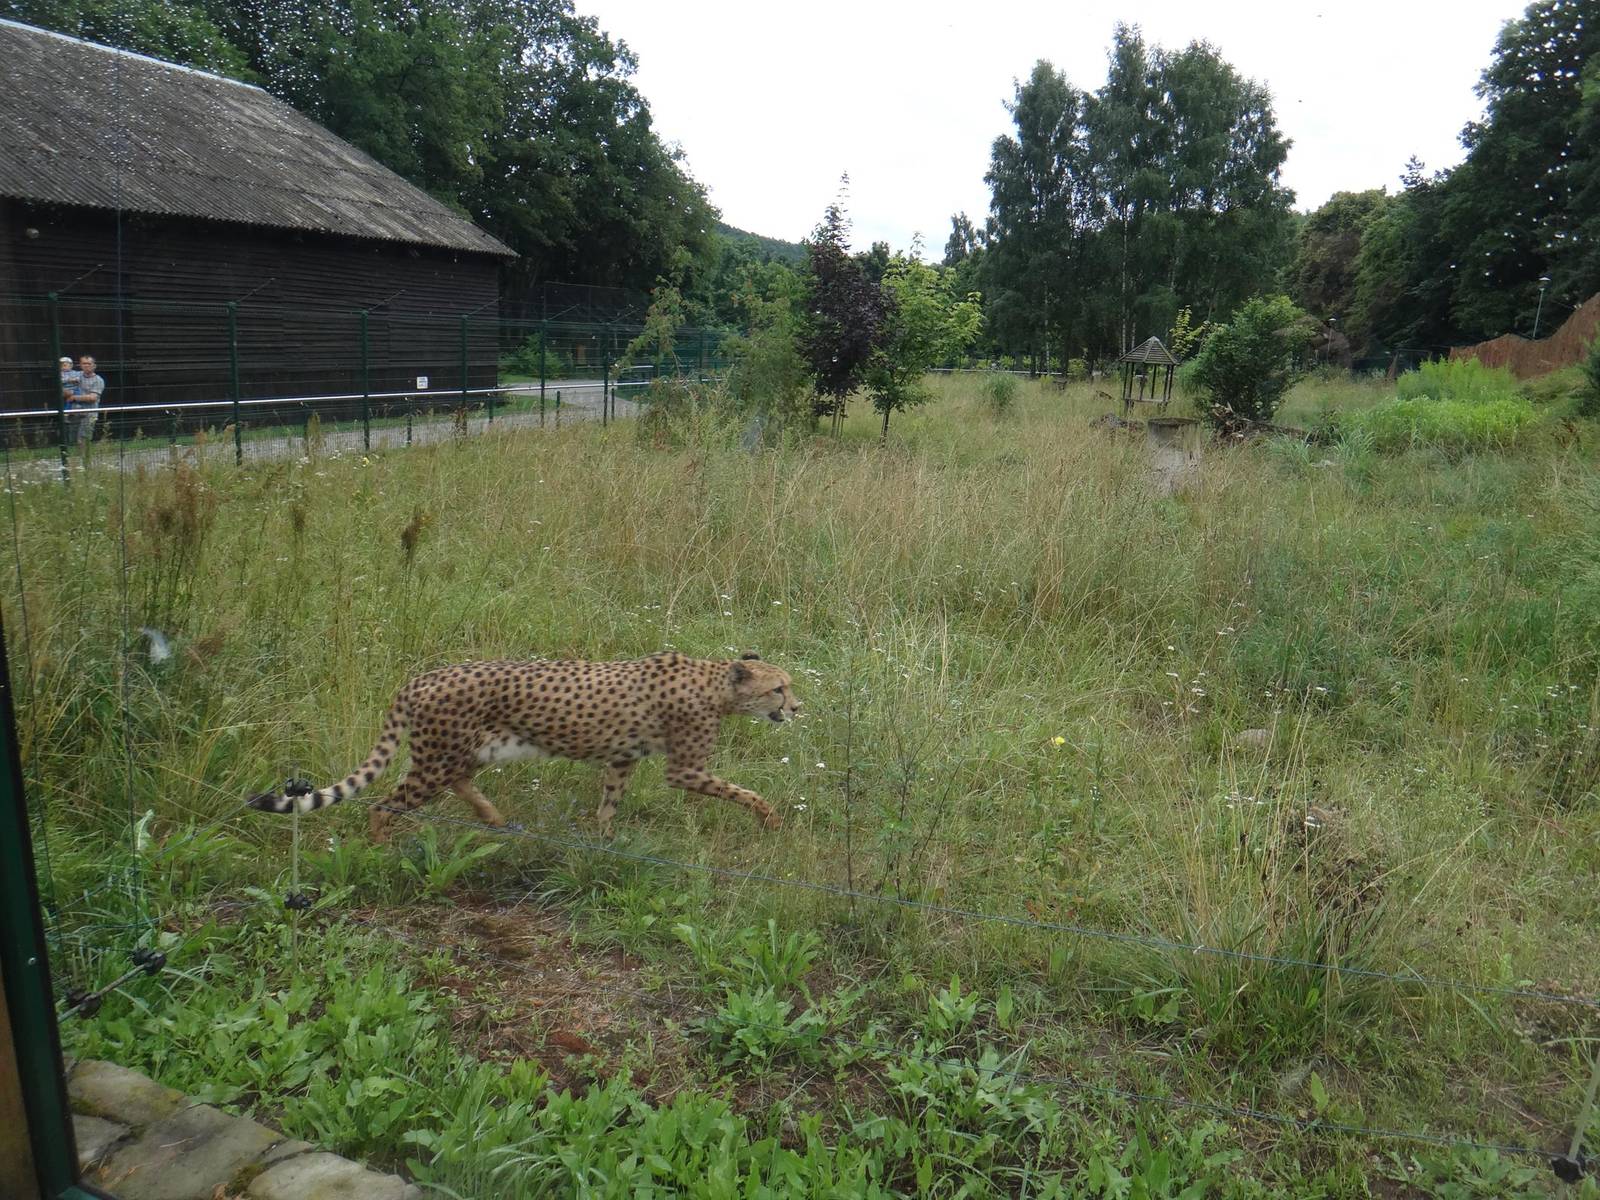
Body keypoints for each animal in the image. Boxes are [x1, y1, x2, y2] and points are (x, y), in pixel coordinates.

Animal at [247, 651, 802, 842]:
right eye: (779, 688)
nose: (797, 708)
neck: (715, 683)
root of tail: (421, 677)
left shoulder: (622, 758)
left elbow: (609, 801)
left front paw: (603, 838)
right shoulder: (683, 770)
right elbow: (743, 791)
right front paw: (772, 820)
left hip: (461, 752)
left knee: (458, 781)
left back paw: (492, 818)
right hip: (436, 759)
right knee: (383, 806)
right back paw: (382, 849)